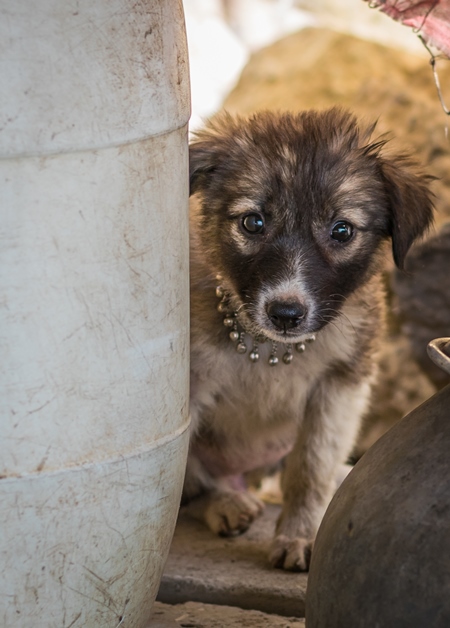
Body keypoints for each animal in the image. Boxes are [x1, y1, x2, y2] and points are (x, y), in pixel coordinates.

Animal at [182, 106, 432, 568]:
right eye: (253, 222)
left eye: (342, 231)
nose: (286, 314)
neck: (271, 349)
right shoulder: (184, 386)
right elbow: (176, 471)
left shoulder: (341, 385)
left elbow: (311, 467)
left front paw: (299, 533)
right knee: (197, 486)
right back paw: (227, 501)